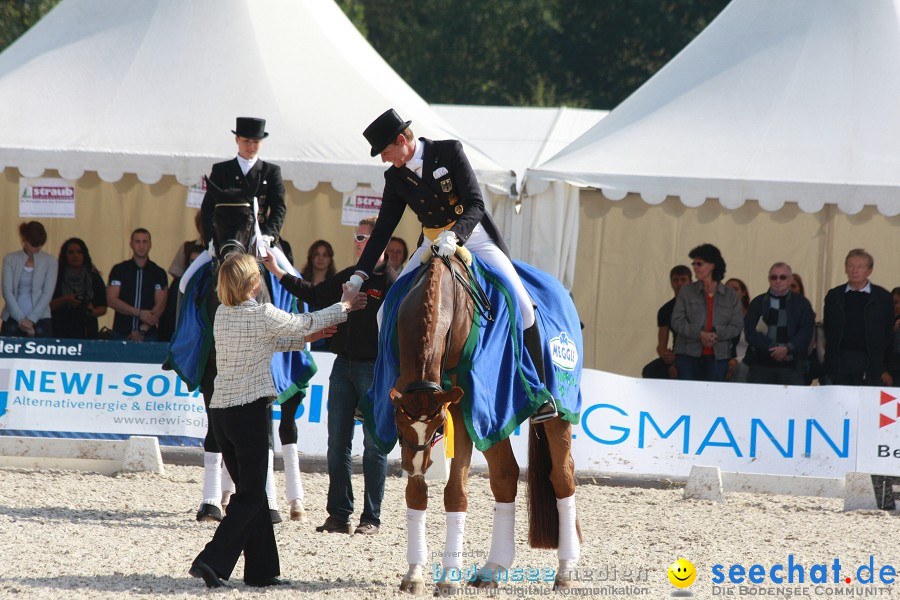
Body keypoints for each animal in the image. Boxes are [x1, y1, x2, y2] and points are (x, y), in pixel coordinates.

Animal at [168, 179, 310, 524]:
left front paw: (269, 506)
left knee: (287, 431)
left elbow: (267, 441)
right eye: (215, 220)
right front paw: (210, 505)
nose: (231, 258)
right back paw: (227, 493)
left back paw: (296, 504)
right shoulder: (211, 379)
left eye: (249, 221)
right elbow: (215, 439)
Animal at [388, 251, 584, 592]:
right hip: (494, 418)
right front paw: (414, 574)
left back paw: (566, 571)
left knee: (562, 477)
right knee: (505, 477)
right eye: (399, 426)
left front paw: (448, 577)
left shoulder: (462, 408)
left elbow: (455, 493)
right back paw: (493, 569)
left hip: (556, 411)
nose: (416, 467)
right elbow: (416, 494)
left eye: (439, 428)